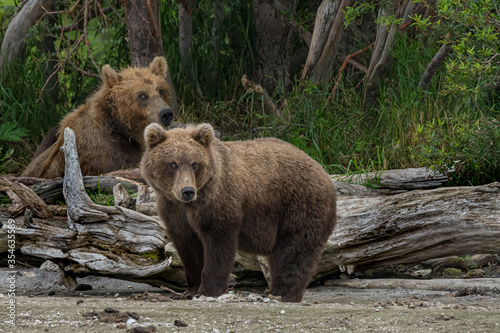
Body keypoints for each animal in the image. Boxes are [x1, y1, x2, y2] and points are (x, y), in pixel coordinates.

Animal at [141, 122, 336, 300]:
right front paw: (190, 290)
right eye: (172, 164)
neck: (190, 203)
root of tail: (324, 172)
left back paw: (283, 293)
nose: (187, 191)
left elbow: (218, 247)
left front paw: (207, 290)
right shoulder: (174, 211)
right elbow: (188, 248)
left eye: (194, 164)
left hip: (299, 205)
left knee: (295, 250)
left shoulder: (218, 203)